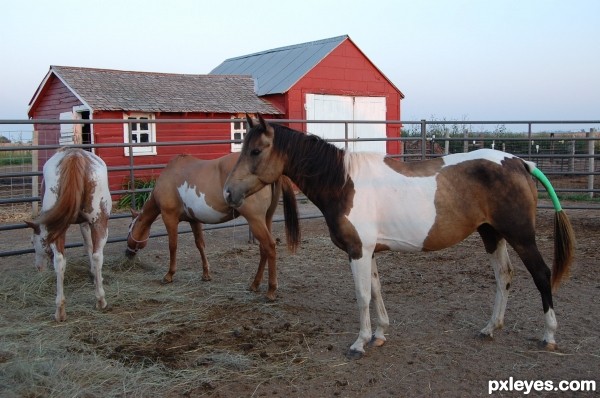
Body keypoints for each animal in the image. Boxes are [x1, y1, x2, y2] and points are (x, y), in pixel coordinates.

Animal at [25, 148, 112, 322]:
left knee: (64, 260)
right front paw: (94, 275)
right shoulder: (85, 223)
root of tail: (75, 155)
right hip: (98, 222)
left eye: (32, 241)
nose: (39, 268)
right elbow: (89, 247)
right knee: (91, 256)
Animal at [125, 154, 300, 300]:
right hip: (266, 219)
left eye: (129, 229)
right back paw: (255, 284)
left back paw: (271, 290)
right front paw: (206, 274)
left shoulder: (170, 218)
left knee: (269, 247)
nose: (128, 253)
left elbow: (173, 246)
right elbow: (200, 245)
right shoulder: (194, 220)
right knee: (264, 249)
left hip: (255, 219)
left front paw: (169, 275)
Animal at [223, 114, 576, 358]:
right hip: (491, 234)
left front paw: (359, 342)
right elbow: (376, 290)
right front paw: (379, 334)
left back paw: (549, 335)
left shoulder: (358, 251)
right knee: (504, 276)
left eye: (256, 150)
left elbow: (362, 295)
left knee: (542, 275)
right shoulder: (369, 251)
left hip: (521, 236)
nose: (228, 192)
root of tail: (520, 162)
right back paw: (490, 328)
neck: (343, 183)